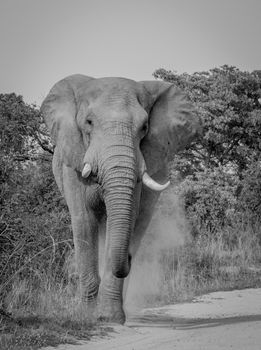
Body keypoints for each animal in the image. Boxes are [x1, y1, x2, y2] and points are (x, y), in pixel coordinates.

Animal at [40, 75, 200, 324]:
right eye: (88, 122)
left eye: (144, 127)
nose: (129, 260)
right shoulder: (73, 163)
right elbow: (84, 222)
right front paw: (86, 316)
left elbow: (128, 219)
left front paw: (109, 318)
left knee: (136, 225)